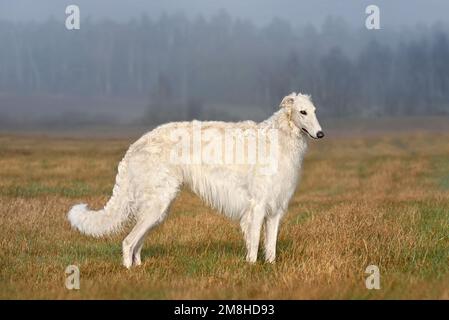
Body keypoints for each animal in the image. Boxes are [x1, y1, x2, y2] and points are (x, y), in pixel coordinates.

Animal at [67, 92, 322, 268]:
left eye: (314, 110)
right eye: (302, 112)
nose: (321, 134)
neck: (279, 138)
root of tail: (135, 145)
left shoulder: (275, 208)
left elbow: (271, 247)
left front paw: (270, 266)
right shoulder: (257, 207)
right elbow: (253, 244)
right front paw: (250, 267)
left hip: (157, 209)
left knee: (136, 244)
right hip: (157, 204)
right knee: (128, 242)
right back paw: (128, 271)